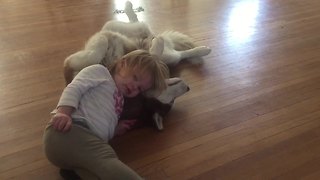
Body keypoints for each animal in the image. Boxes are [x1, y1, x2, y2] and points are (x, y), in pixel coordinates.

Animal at [63, 0, 211, 83]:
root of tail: (149, 35)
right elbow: (94, 54)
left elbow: (95, 52)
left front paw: (104, 41)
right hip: (167, 56)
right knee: (181, 54)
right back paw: (203, 49)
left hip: (114, 25)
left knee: (135, 20)